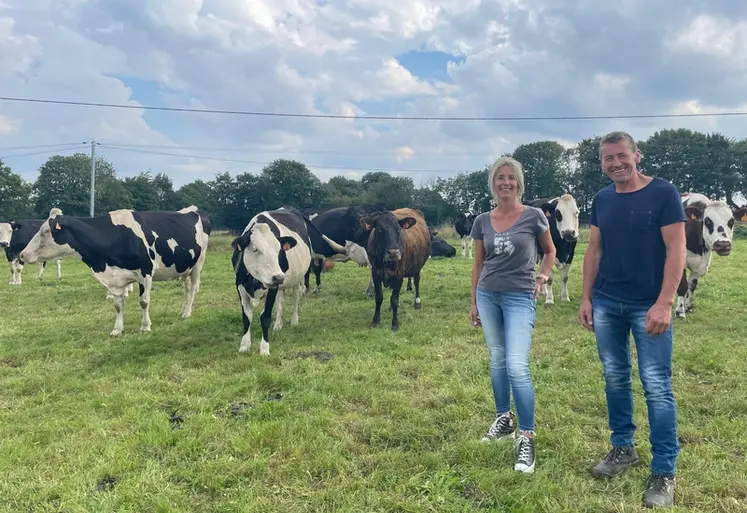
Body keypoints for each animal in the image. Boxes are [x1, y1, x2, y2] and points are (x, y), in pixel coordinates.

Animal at [19, 204, 210, 336]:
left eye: (45, 231)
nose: (22, 254)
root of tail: (193, 210)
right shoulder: (115, 279)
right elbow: (118, 306)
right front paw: (117, 330)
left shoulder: (146, 271)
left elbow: (144, 301)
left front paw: (145, 326)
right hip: (185, 267)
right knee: (186, 289)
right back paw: (183, 310)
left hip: (198, 263)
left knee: (193, 288)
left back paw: (187, 313)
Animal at [232, 206, 350, 354]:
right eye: (255, 249)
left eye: (279, 251)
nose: (278, 277)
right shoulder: (240, 287)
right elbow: (246, 317)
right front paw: (244, 346)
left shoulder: (273, 287)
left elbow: (265, 317)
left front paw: (264, 349)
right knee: (281, 301)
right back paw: (278, 324)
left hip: (297, 278)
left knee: (295, 297)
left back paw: (294, 321)